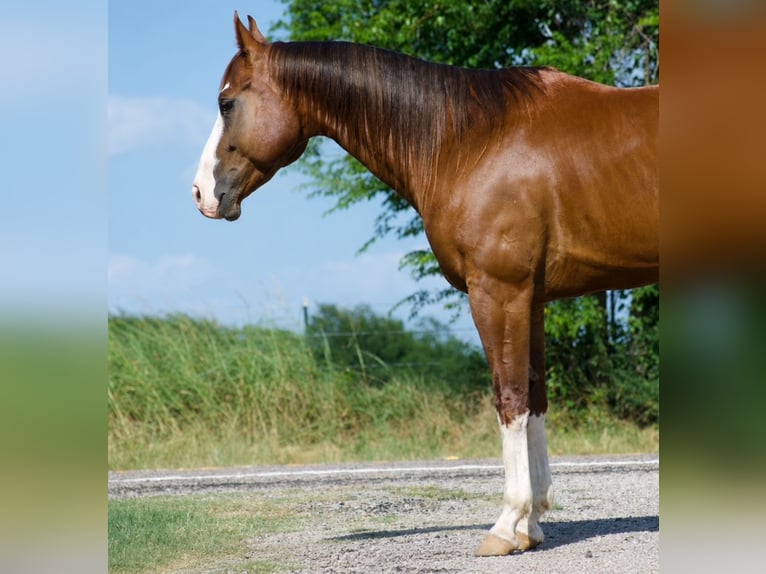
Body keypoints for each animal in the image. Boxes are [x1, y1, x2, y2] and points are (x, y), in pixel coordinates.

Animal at [192, 12, 658, 557]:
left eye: (227, 102)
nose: (201, 192)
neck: (472, 141)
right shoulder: (533, 298)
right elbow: (536, 396)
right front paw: (532, 525)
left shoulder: (499, 292)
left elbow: (510, 398)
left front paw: (507, 524)